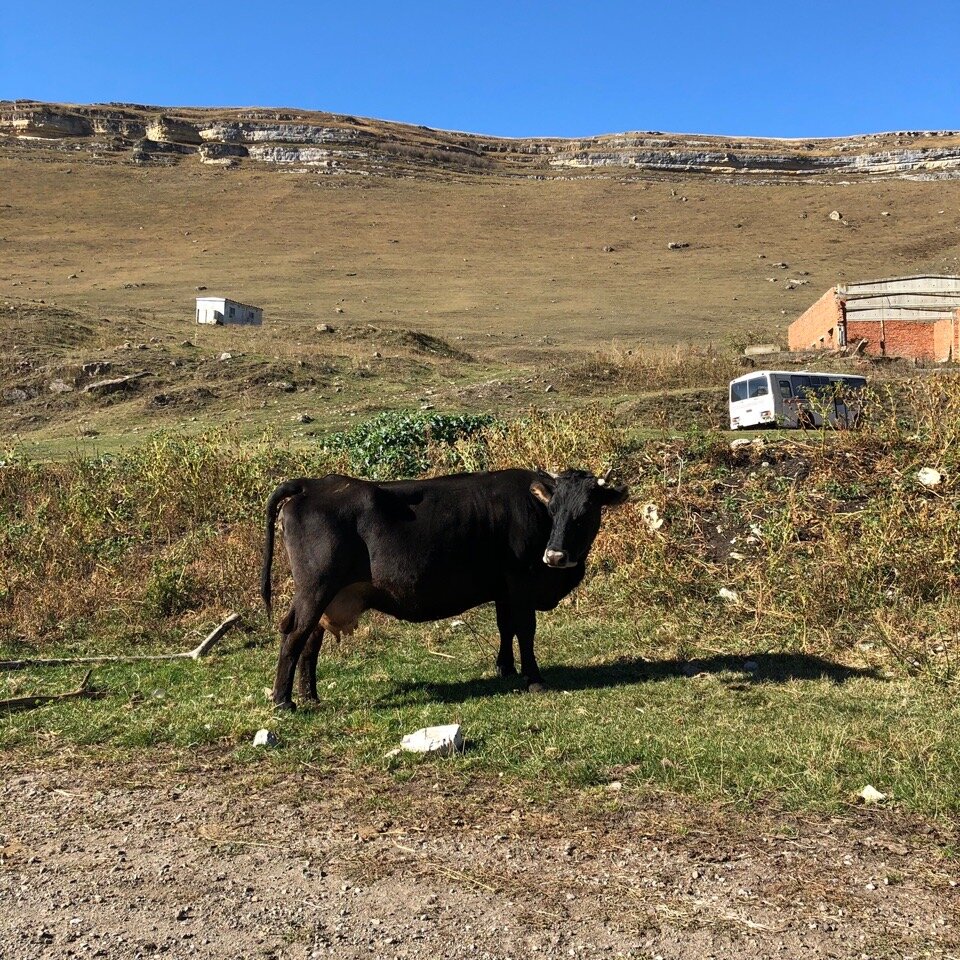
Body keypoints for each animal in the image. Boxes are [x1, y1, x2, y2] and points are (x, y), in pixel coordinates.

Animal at [258, 468, 628, 708]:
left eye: (586, 511)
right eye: (552, 509)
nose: (554, 555)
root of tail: (312, 484)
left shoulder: (503, 588)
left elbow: (505, 627)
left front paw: (505, 668)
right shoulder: (520, 581)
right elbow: (525, 629)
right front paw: (533, 678)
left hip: (327, 596)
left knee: (309, 641)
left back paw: (309, 696)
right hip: (315, 589)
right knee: (294, 635)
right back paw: (284, 701)